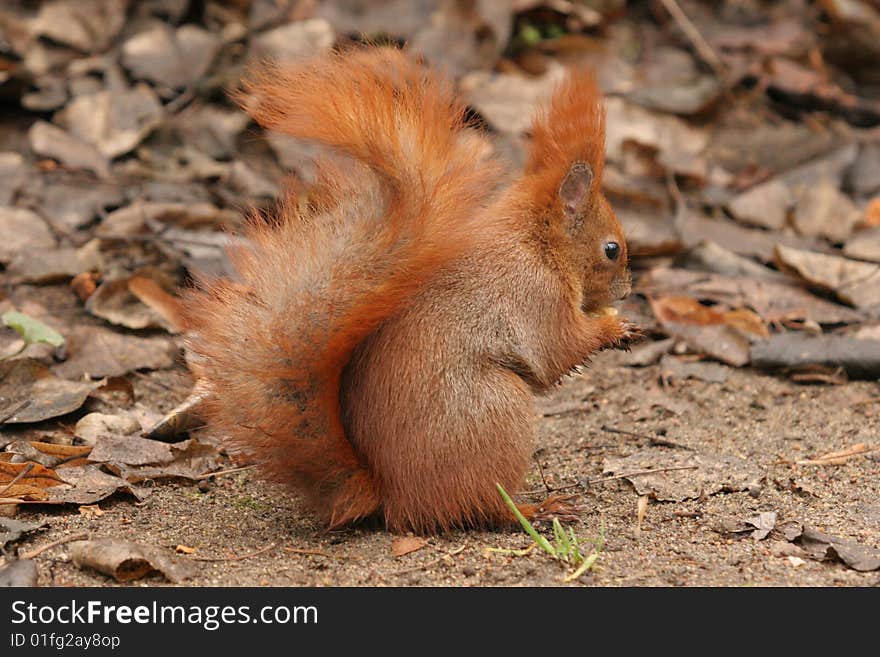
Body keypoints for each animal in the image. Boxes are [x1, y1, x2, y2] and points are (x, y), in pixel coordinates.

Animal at [186, 48, 636, 532]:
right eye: (612, 249)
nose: (626, 291)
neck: (534, 241)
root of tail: (390, 497)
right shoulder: (536, 295)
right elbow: (557, 350)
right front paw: (615, 329)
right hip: (496, 413)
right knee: (484, 506)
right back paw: (536, 510)